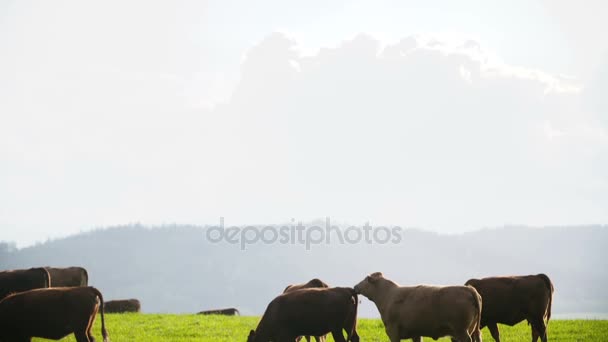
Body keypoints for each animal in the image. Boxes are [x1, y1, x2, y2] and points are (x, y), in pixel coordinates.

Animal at [354, 272, 482, 342]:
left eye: (365, 279)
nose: (355, 286)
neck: (388, 295)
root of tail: (468, 288)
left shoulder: (392, 330)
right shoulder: (416, 333)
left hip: (461, 330)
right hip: (471, 329)